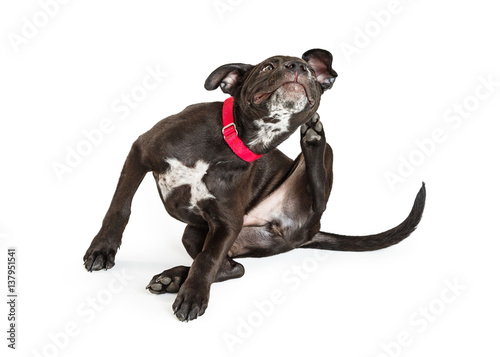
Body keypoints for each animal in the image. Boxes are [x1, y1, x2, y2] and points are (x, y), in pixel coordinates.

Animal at [83, 48, 426, 322]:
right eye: (267, 67)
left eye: (309, 69)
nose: (298, 67)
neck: (233, 140)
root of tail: (298, 234)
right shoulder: (140, 152)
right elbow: (119, 208)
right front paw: (102, 250)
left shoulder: (227, 223)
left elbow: (208, 260)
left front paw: (194, 296)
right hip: (197, 234)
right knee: (233, 266)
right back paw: (174, 279)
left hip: (305, 190)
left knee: (317, 200)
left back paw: (313, 139)